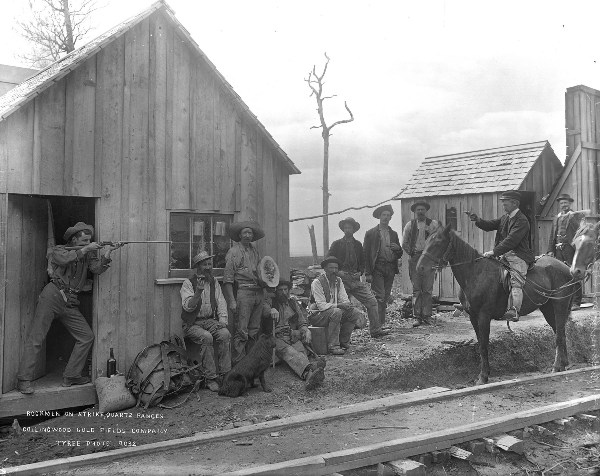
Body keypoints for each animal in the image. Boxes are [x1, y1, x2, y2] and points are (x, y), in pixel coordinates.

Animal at [418, 225, 576, 384]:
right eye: (426, 240)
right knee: (560, 332)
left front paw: (483, 376)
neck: (475, 274)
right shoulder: (473, 317)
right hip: (547, 308)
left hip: (559, 305)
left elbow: (483, 345)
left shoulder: (483, 316)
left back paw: (557, 366)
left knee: (559, 335)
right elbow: (480, 344)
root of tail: (565, 267)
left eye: (438, 242)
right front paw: (484, 373)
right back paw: (563, 364)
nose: (421, 267)